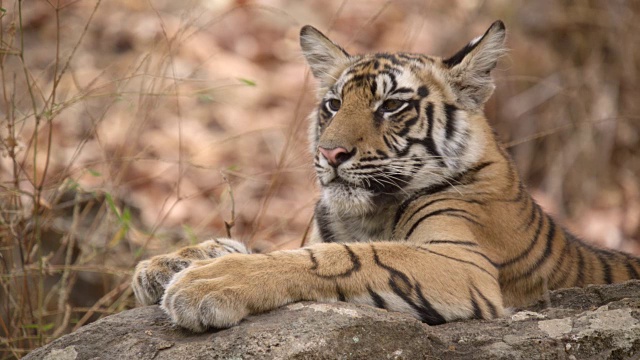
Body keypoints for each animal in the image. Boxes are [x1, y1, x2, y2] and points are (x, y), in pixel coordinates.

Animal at [130, 21, 640, 332]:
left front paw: (206, 282)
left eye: (391, 105)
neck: (364, 214)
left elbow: (344, 257)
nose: (330, 152)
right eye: (333, 104)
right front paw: (169, 263)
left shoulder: (462, 262)